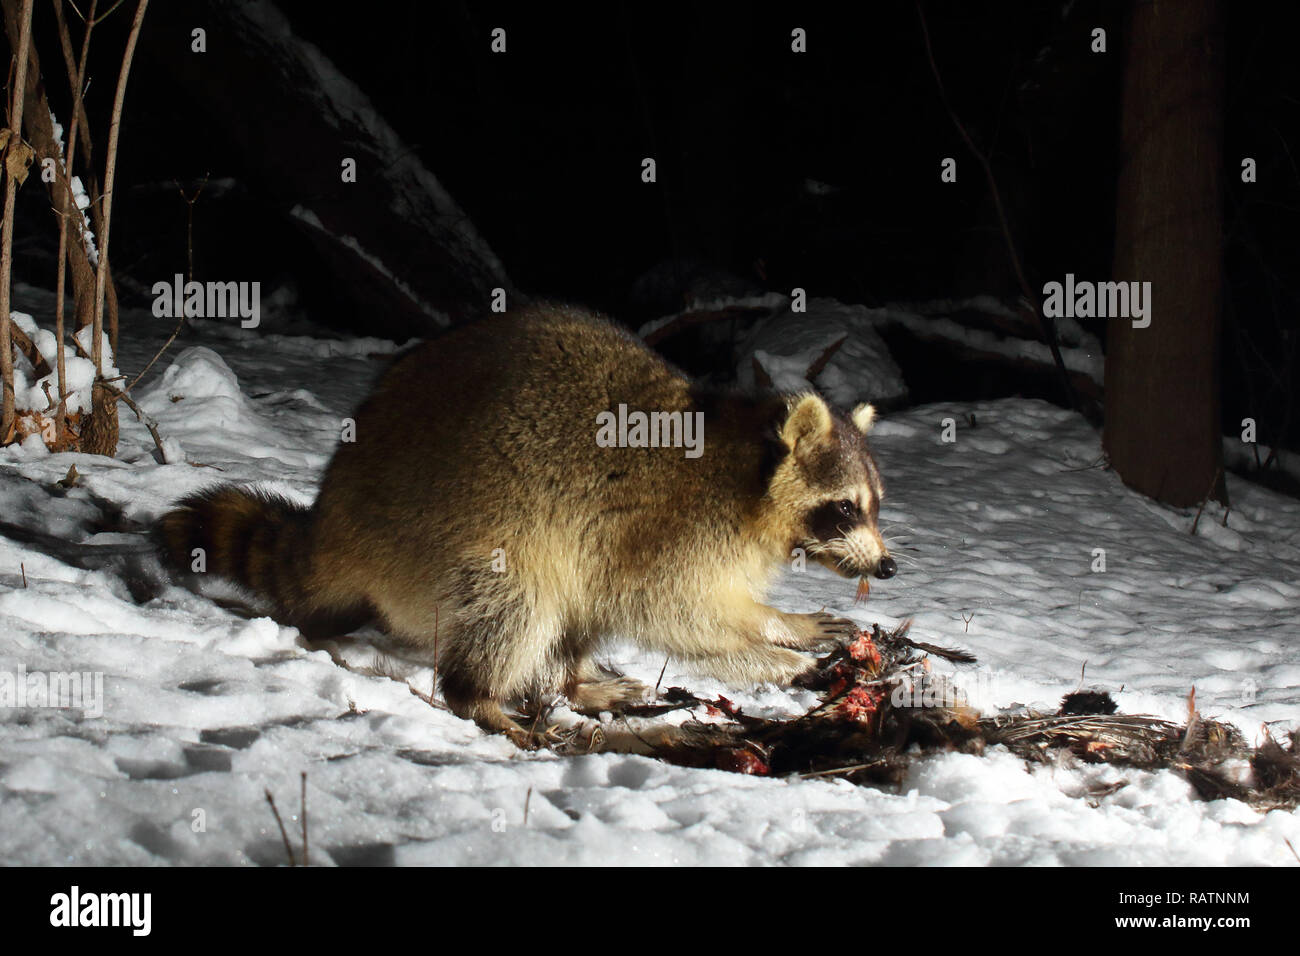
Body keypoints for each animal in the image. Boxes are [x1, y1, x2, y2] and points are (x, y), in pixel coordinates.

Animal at [157, 304, 894, 749]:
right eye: (846, 507)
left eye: (877, 503)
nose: (889, 567)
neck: (747, 471)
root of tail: (335, 507)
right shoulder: (674, 529)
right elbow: (672, 613)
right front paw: (775, 652)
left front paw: (785, 624)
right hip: (458, 527)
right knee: (520, 597)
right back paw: (482, 695)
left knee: (573, 606)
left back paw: (574, 680)